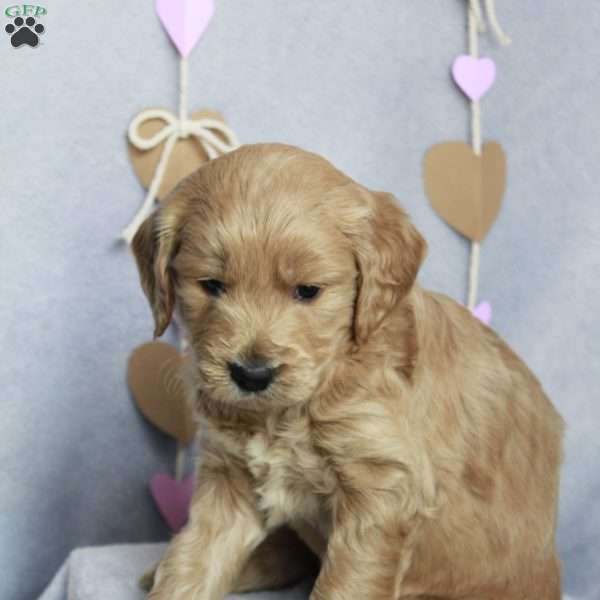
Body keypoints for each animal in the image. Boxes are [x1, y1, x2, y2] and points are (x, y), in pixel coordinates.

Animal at [130, 143, 564, 596]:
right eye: (211, 285)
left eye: (308, 291)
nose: (252, 375)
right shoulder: (229, 478)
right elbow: (194, 561)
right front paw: (172, 579)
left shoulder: (382, 489)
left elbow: (346, 584)